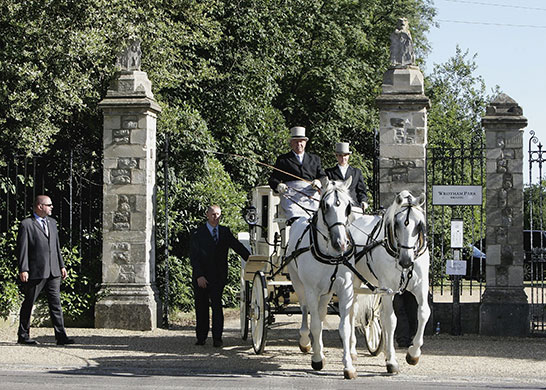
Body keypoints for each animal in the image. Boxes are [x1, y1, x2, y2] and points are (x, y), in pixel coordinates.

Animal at [284, 176, 356, 378]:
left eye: (348, 207)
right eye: (325, 206)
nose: (341, 243)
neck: (331, 254)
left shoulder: (345, 289)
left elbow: (344, 328)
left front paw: (348, 366)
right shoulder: (311, 289)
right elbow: (315, 324)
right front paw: (316, 359)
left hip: (326, 292)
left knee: (321, 313)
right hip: (299, 284)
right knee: (305, 309)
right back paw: (306, 342)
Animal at [348, 190, 430, 374]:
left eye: (419, 225)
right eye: (397, 224)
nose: (406, 261)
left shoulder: (420, 287)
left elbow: (423, 313)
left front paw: (413, 354)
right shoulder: (387, 289)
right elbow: (391, 320)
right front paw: (392, 361)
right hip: (355, 283)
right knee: (351, 311)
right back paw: (351, 350)